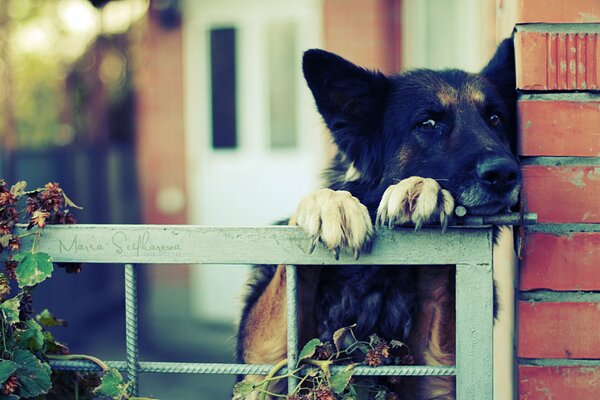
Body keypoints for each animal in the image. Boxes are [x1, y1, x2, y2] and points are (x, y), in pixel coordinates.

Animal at [237, 38, 516, 400]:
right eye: (427, 123)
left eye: (495, 119)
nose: (505, 173)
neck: (377, 278)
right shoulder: (263, 366)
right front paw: (329, 204)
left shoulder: (438, 375)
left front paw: (422, 190)